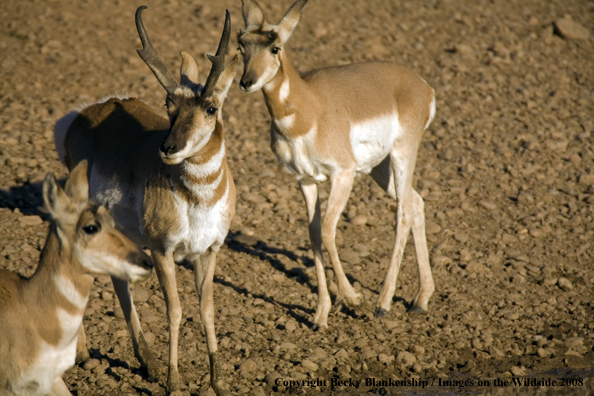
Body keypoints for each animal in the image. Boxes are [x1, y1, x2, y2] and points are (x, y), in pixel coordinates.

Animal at [51, 6, 236, 396]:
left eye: (211, 108)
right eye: (169, 105)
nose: (168, 148)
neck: (196, 200)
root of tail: (81, 115)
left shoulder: (209, 251)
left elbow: (207, 309)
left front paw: (218, 380)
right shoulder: (162, 250)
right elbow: (175, 310)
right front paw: (174, 380)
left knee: (119, 280)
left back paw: (146, 361)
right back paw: (83, 352)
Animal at [236, 0, 434, 328]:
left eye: (275, 47)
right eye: (241, 47)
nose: (246, 82)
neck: (309, 108)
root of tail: (421, 85)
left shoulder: (343, 174)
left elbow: (328, 230)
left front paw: (353, 298)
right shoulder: (305, 180)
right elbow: (314, 233)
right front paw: (320, 315)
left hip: (401, 154)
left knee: (403, 212)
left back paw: (383, 303)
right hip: (378, 169)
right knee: (416, 202)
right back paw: (420, 300)